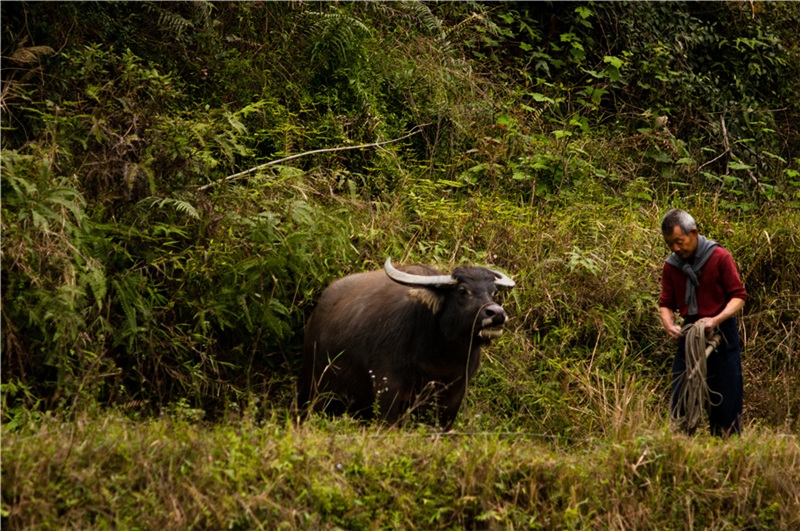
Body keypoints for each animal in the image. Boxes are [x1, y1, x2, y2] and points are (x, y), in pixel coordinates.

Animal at [298, 258, 515, 429]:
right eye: (462, 291)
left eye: (493, 292)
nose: (496, 314)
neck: (440, 357)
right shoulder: (387, 387)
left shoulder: (455, 394)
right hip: (316, 390)